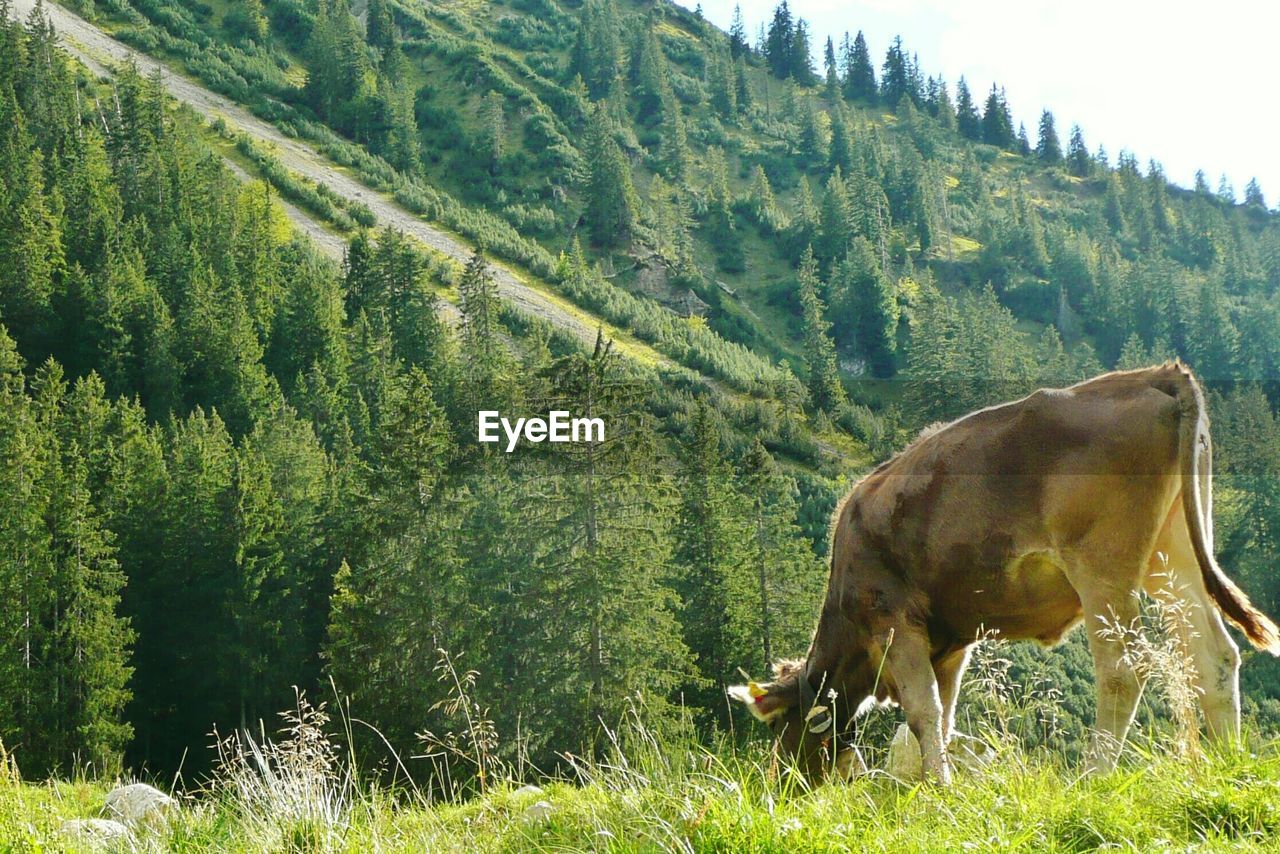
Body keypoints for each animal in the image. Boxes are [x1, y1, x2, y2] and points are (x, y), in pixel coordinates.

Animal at [732, 363, 1280, 783]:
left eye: (778, 726)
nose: (780, 783)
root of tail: (1156, 374)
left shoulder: (894, 623)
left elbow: (924, 713)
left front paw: (939, 788)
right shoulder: (950, 643)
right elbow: (943, 716)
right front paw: (931, 784)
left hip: (1103, 567)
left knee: (1122, 669)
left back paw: (1094, 776)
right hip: (1173, 556)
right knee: (1214, 656)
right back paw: (1228, 765)